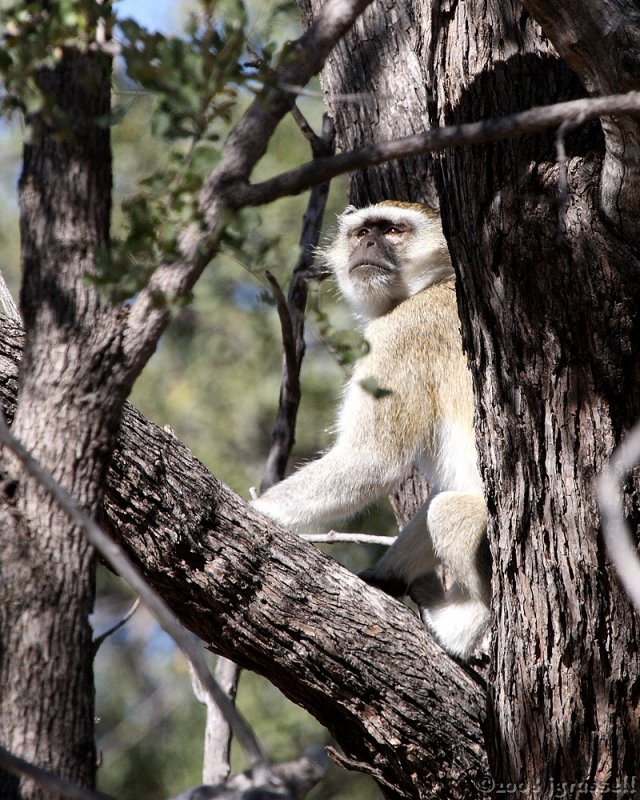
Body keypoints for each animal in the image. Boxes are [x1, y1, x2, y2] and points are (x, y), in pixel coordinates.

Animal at [251, 203, 490, 660]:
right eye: (363, 231)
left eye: (393, 231)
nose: (368, 244)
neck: (430, 286)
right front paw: (385, 577)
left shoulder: (398, 336)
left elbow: (373, 459)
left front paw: (260, 511)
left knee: (447, 512)